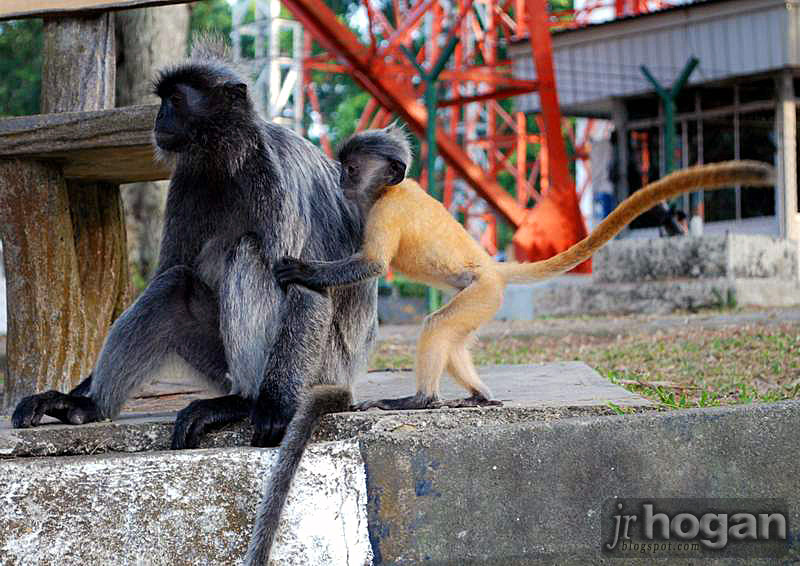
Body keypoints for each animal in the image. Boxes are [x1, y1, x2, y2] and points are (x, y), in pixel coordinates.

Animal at [276, 126, 776, 412]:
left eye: (351, 168)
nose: (339, 180)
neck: (385, 192)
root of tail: (493, 269)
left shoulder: (387, 210)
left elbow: (373, 265)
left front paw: (301, 271)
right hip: (480, 297)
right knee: (451, 336)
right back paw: (479, 396)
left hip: (481, 292)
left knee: (436, 325)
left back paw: (422, 400)